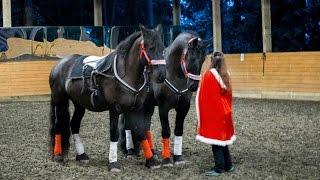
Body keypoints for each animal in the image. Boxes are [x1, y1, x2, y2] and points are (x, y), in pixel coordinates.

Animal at [48, 24, 166, 171]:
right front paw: (113, 162)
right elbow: (114, 133)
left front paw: (151, 160)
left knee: (74, 125)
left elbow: (141, 131)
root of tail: (58, 65)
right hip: (59, 101)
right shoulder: (114, 108)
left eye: (163, 48)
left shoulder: (135, 109)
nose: (161, 75)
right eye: (151, 48)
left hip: (79, 104)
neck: (126, 73)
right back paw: (58, 155)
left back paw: (82, 155)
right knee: (58, 126)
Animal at [120, 32, 208, 166]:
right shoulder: (163, 108)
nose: (193, 85)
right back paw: (130, 152)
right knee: (127, 126)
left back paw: (152, 152)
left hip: (148, 106)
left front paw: (178, 158)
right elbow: (166, 131)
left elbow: (178, 130)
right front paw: (166, 159)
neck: (174, 75)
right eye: (191, 57)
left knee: (146, 127)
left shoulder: (184, 108)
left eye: (203, 59)